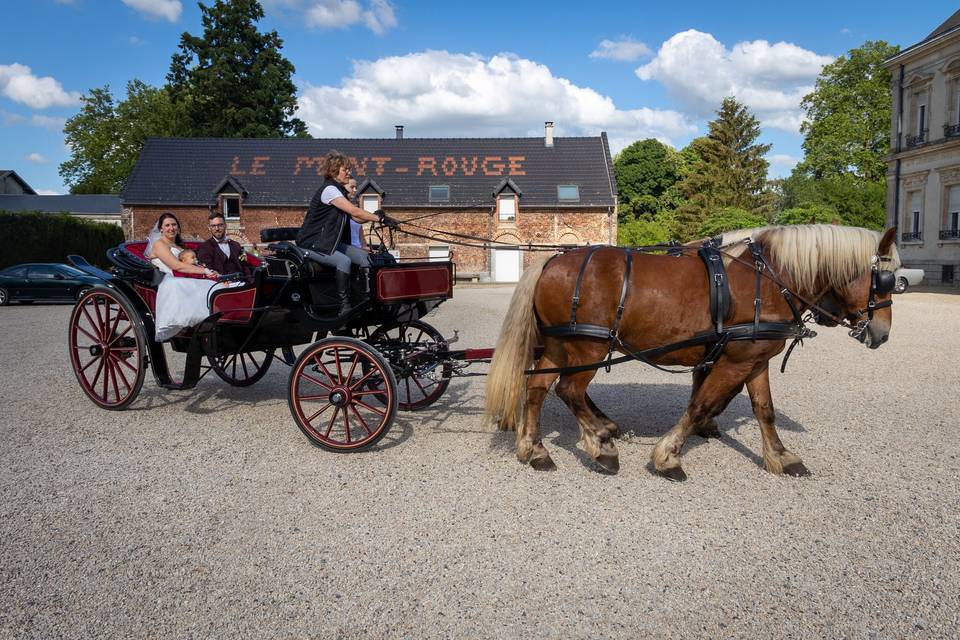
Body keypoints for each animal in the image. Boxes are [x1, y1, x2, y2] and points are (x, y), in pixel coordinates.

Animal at [488, 225, 900, 480]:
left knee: (537, 390)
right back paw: (601, 445)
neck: (769, 280)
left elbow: (763, 410)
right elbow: (701, 404)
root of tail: (553, 260)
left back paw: (535, 450)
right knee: (569, 390)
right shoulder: (735, 361)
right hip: (587, 346)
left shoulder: (755, 360)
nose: (882, 333)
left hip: (561, 347)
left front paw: (781, 456)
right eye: (884, 279)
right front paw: (668, 456)